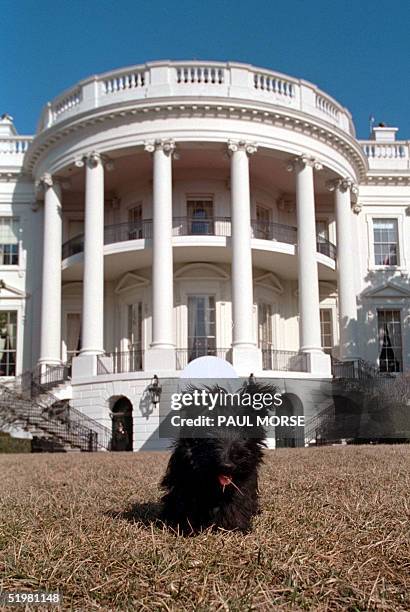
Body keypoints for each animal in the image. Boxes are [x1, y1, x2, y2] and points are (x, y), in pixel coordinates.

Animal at [160, 380, 272, 532]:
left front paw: (234, 527)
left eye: (243, 430)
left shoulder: (244, 481)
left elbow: (237, 501)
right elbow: (185, 501)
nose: (227, 465)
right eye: (210, 429)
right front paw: (186, 527)